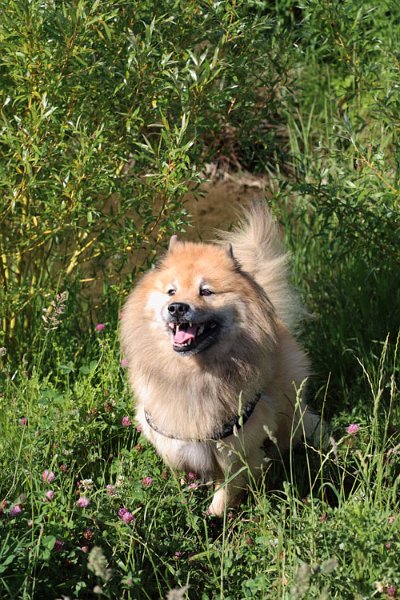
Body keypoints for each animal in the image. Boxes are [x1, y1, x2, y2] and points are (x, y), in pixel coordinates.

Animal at [120, 203, 320, 516]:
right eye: (171, 291)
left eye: (206, 291)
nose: (176, 308)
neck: (193, 374)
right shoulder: (171, 439)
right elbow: (181, 470)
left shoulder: (236, 447)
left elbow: (226, 488)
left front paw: (213, 517)